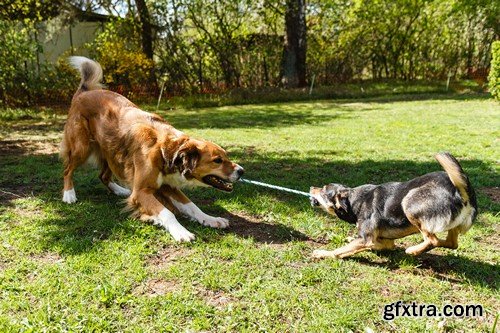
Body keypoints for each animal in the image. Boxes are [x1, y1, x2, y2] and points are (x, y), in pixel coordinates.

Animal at [61, 55, 245, 240]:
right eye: (217, 160)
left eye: (226, 156)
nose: (242, 171)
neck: (167, 151)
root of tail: (84, 92)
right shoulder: (141, 191)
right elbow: (167, 213)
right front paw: (180, 231)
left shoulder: (168, 186)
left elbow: (191, 206)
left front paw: (210, 219)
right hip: (82, 148)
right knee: (68, 170)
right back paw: (69, 194)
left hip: (110, 152)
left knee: (103, 176)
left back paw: (120, 191)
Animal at [310, 152, 478, 258]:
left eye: (324, 189)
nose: (311, 187)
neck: (353, 200)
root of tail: (462, 191)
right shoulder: (384, 242)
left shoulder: (366, 239)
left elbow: (339, 251)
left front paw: (324, 253)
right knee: (451, 244)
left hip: (409, 202)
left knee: (433, 240)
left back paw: (413, 250)